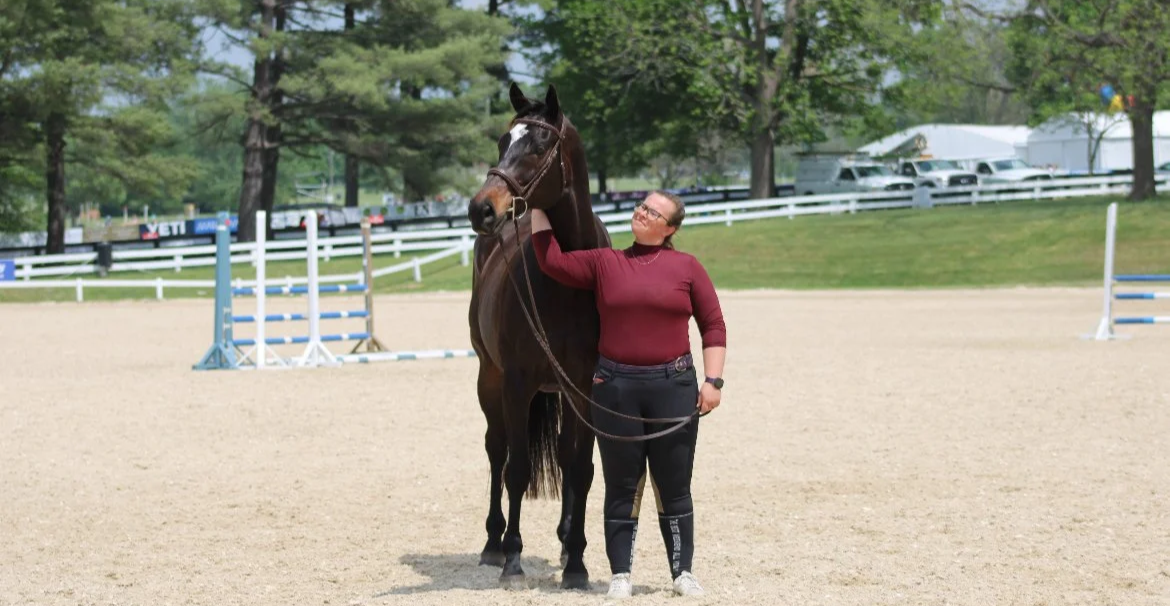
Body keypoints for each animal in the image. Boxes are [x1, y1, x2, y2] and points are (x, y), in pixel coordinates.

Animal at [466, 82, 611, 590]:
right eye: (501, 142)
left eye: (540, 145)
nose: (481, 208)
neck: (568, 274)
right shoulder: (516, 383)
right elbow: (518, 468)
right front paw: (513, 559)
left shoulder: (583, 386)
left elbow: (580, 468)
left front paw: (577, 564)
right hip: (488, 377)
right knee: (496, 450)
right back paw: (493, 543)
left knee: (564, 459)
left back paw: (567, 540)